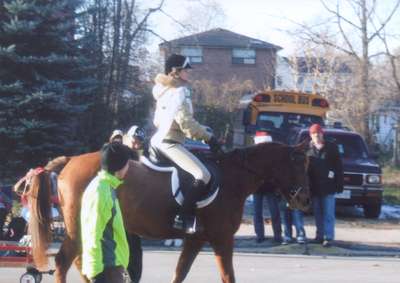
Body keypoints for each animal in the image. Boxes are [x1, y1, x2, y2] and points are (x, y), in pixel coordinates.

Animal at [16, 143, 310, 282]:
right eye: (299, 165)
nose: (304, 200)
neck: (232, 177)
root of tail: (70, 161)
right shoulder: (222, 238)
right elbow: (228, 276)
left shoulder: (196, 239)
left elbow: (180, 273)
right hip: (79, 226)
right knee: (64, 262)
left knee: (78, 262)